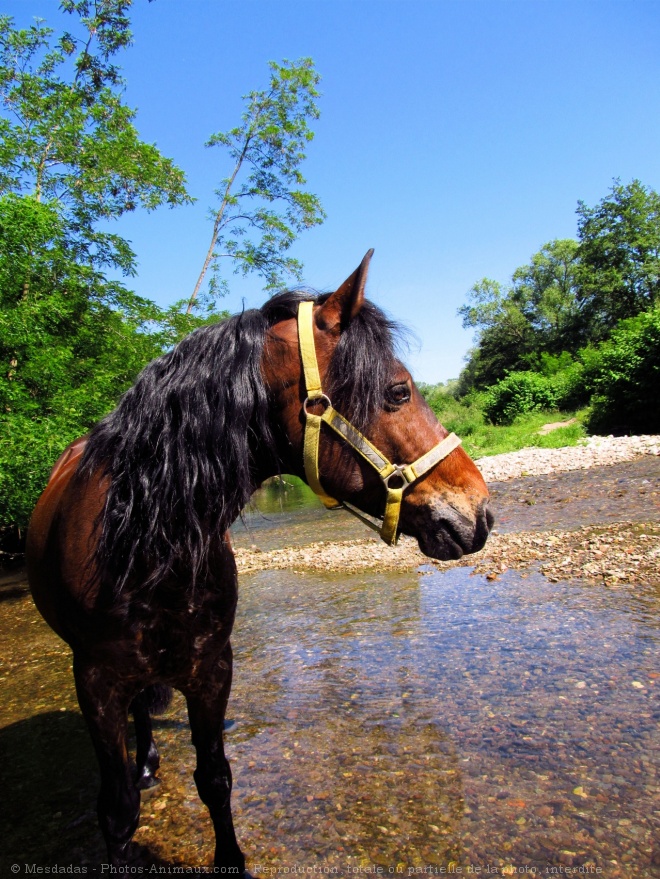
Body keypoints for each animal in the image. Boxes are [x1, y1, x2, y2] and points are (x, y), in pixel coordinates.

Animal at [25, 253, 492, 872]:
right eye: (397, 391)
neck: (144, 544)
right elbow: (119, 812)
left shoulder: (211, 669)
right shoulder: (95, 683)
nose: (480, 511)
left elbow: (215, 780)